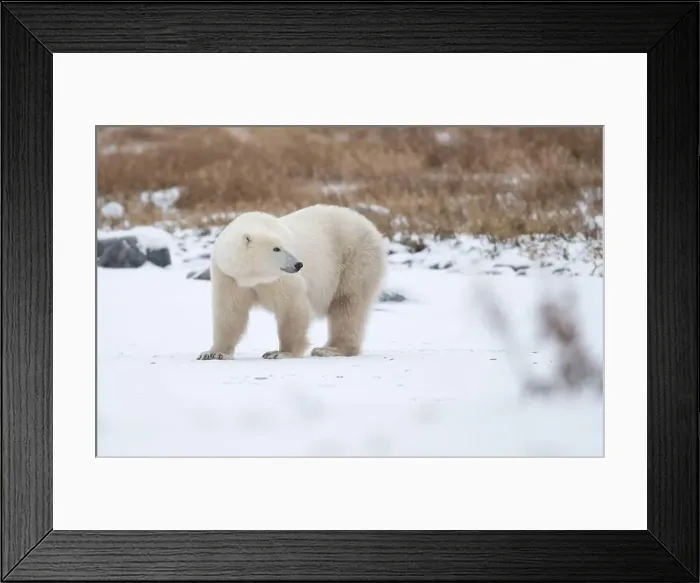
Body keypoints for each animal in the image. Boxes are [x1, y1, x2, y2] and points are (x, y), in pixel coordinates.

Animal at [197, 204, 387, 360]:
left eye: (288, 245)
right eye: (276, 248)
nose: (298, 264)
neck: (252, 276)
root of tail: (370, 225)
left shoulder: (278, 279)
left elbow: (292, 306)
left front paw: (280, 352)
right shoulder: (228, 276)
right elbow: (230, 312)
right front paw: (213, 353)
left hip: (355, 257)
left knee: (347, 303)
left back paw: (329, 349)